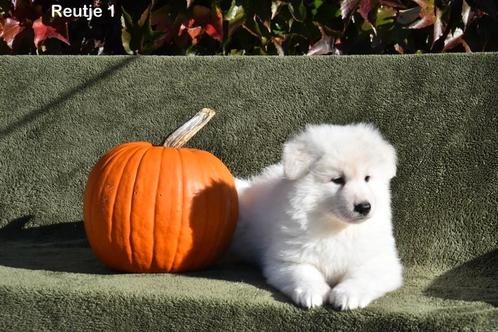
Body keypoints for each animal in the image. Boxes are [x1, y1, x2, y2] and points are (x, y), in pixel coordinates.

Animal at [231, 123, 402, 310]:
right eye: (337, 180)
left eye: (367, 178)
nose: (364, 207)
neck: (336, 227)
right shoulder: (286, 259)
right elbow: (303, 273)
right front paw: (312, 293)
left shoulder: (381, 260)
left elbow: (364, 275)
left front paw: (347, 295)